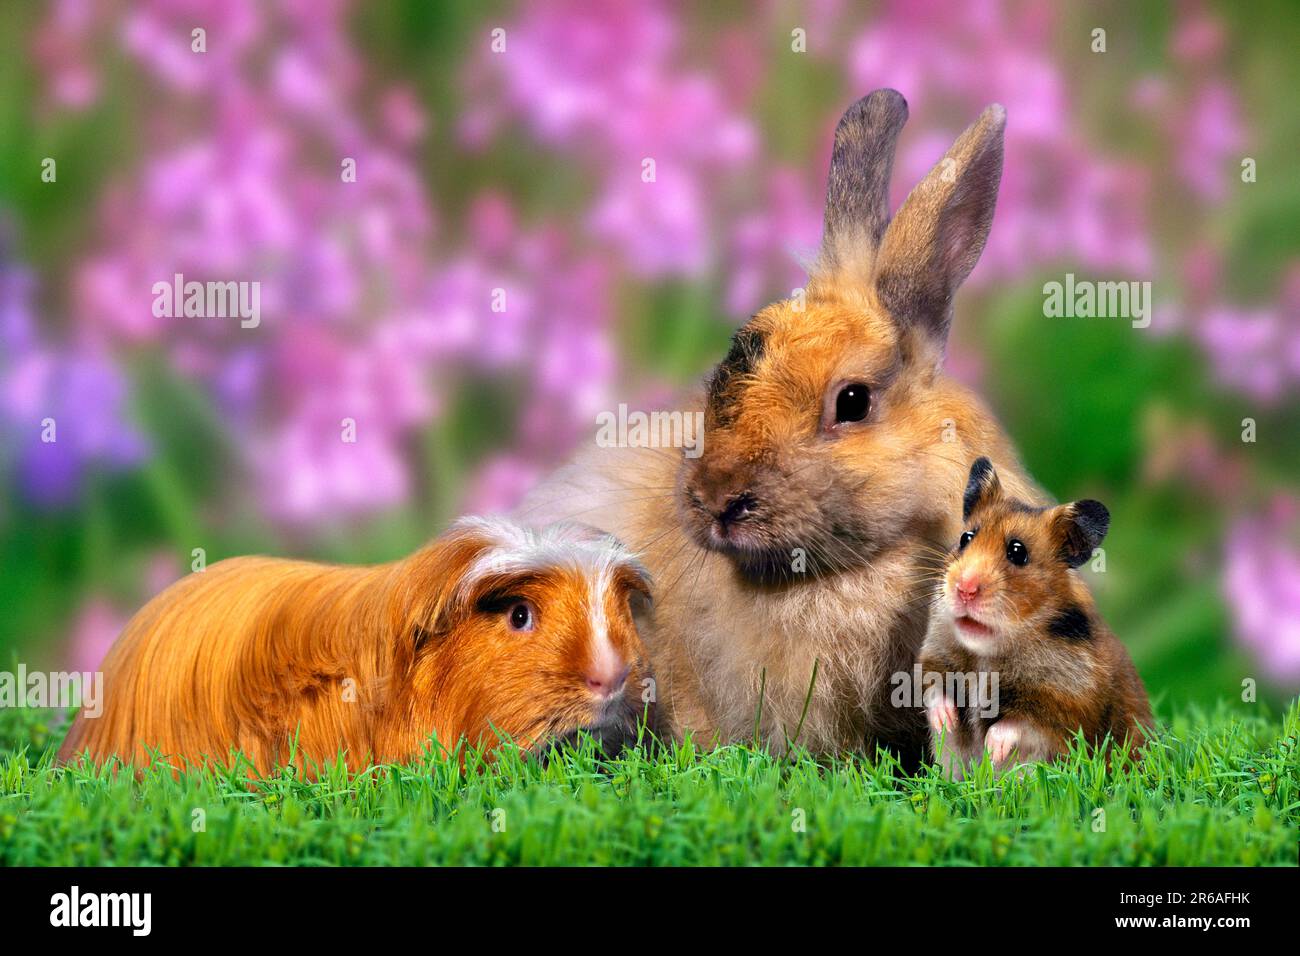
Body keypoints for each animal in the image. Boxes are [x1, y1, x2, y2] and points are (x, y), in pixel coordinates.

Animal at [919, 458, 1154, 778]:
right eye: (965, 538)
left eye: (1018, 552)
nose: (964, 588)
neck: (988, 653)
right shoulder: (934, 657)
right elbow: (935, 690)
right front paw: (947, 721)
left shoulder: (1064, 704)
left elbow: (1018, 724)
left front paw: (992, 749)